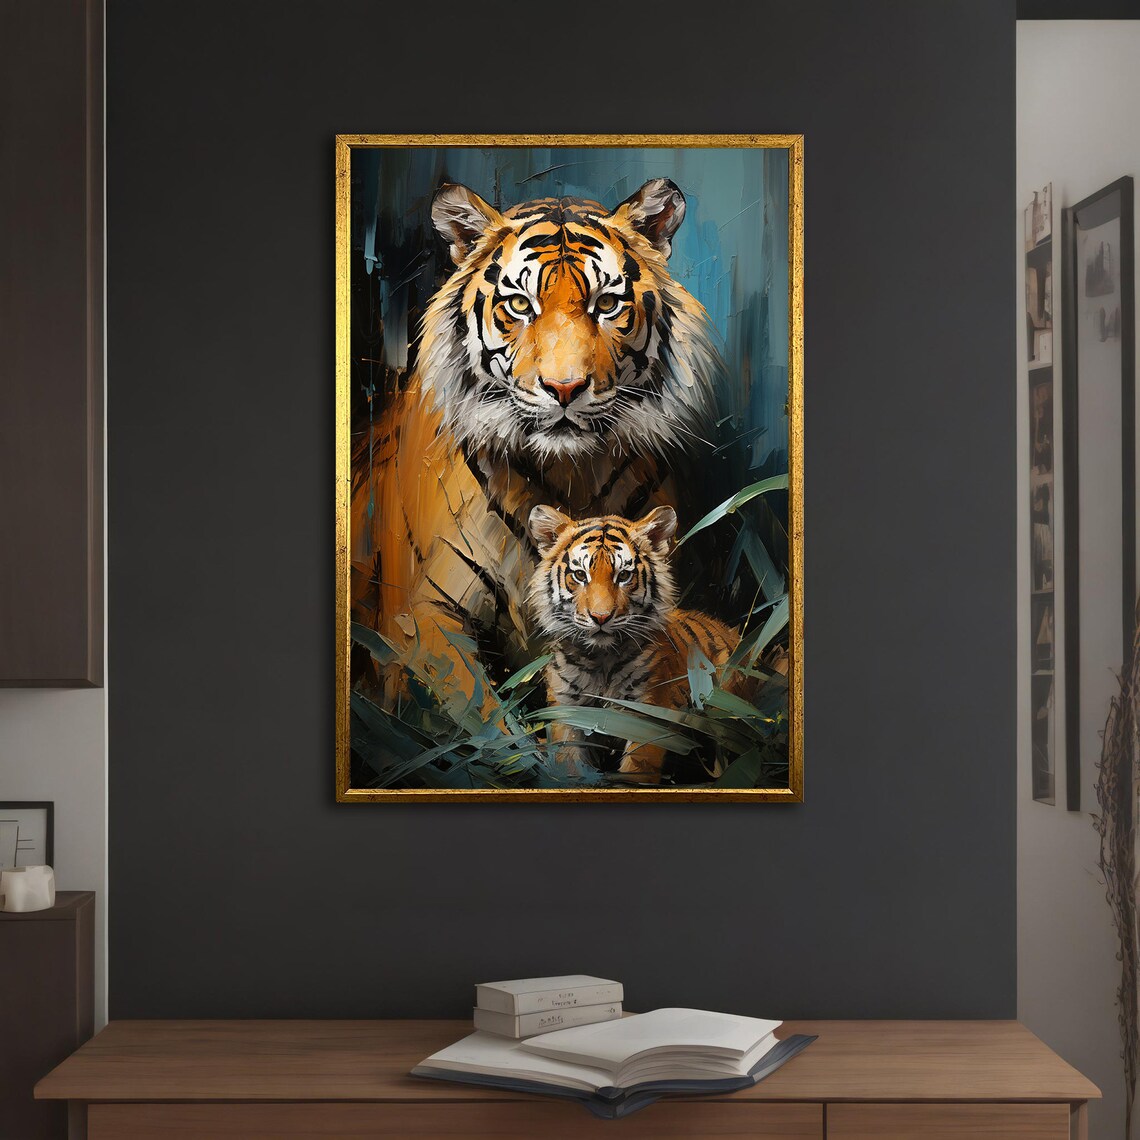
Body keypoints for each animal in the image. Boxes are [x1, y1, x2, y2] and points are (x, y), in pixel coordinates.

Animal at [352, 178, 727, 701]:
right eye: (519, 305)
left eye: (606, 304)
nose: (564, 388)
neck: (568, 473)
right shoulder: (420, 615)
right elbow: (482, 710)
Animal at [527, 502, 740, 783]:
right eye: (580, 575)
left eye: (624, 575)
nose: (601, 617)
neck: (601, 661)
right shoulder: (567, 710)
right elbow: (570, 765)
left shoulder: (647, 712)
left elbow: (637, 770)